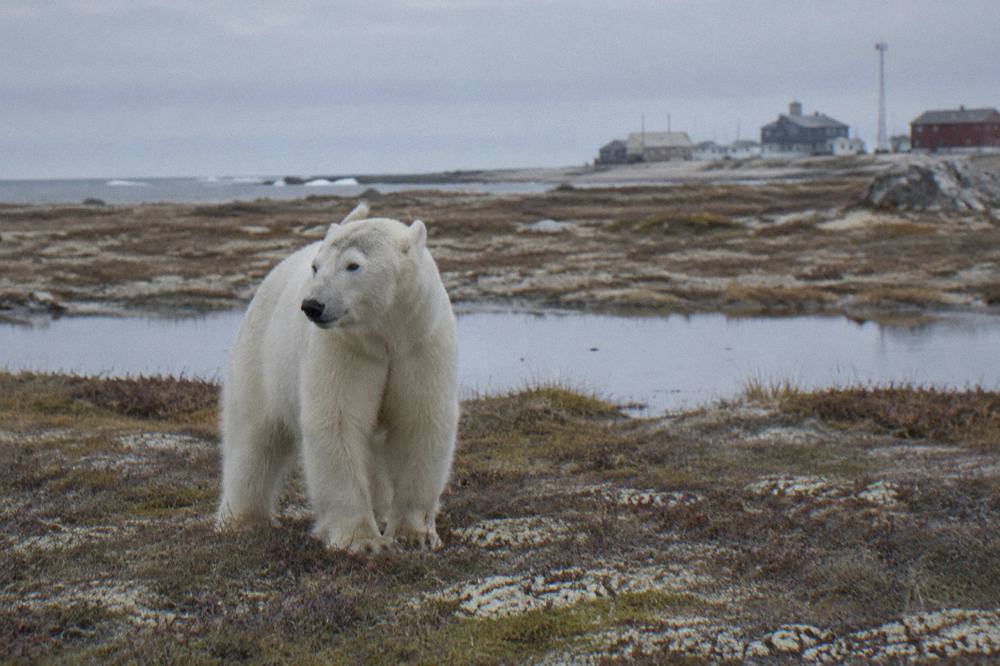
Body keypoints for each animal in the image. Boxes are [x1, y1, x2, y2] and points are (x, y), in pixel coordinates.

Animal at [216, 202, 459, 554]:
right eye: (317, 266)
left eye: (353, 265)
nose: (312, 305)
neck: (385, 337)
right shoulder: (344, 350)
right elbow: (338, 421)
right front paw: (361, 540)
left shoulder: (420, 344)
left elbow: (419, 421)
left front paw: (415, 534)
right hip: (260, 357)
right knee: (254, 437)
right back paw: (243, 520)